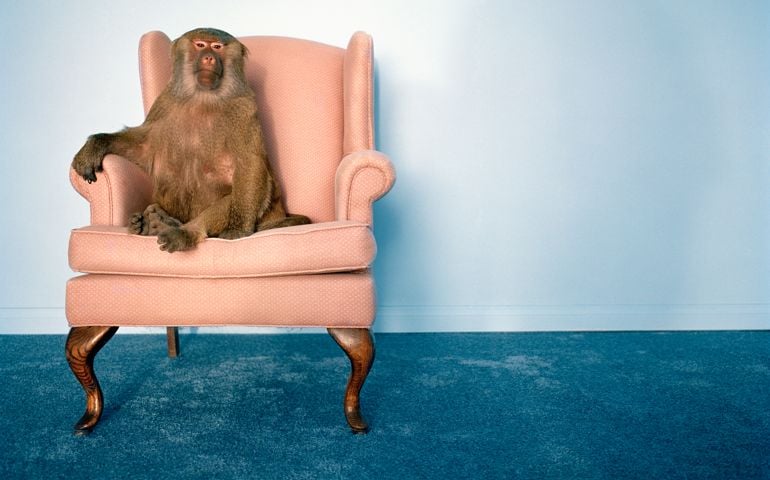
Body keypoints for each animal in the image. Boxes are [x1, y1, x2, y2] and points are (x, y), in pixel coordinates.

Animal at [72, 28, 310, 253]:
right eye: (200, 45)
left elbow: (250, 164)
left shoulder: (243, 108)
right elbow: (144, 148)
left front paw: (238, 229)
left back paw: (182, 231)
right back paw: (153, 224)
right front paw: (94, 146)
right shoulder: (166, 100)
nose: (209, 58)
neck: (203, 97)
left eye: (217, 47)